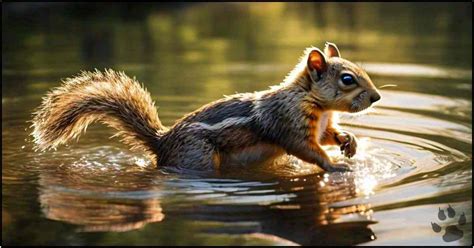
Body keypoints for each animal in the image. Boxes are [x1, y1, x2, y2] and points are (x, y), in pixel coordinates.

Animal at [31, 42, 382, 172]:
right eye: (348, 79)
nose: (377, 98)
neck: (317, 105)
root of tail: (162, 142)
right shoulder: (288, 123)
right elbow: (306, 149)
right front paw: (335, 166)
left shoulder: (321, 125)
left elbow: (327, 137)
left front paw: (349, 143)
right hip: (198, 156)